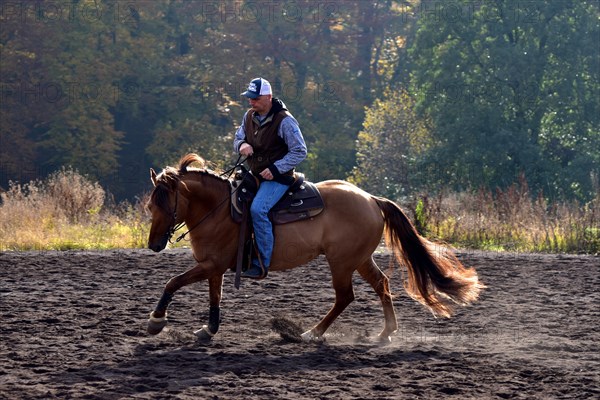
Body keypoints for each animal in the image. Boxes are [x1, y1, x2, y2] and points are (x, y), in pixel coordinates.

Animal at [148, 155, 486, 342]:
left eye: (165, 205)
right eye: (151, 205)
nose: (154, 244)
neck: (219, 209)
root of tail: (372, 199)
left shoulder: (211, 265)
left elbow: (172, 282)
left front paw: (156, 321)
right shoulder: (214, 266)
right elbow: (214, 297)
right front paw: (209, 329)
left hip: (341, 262)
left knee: (345, 296)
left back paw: (311, 333)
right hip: (360, 259)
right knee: (382, 284)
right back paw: (385, 333)